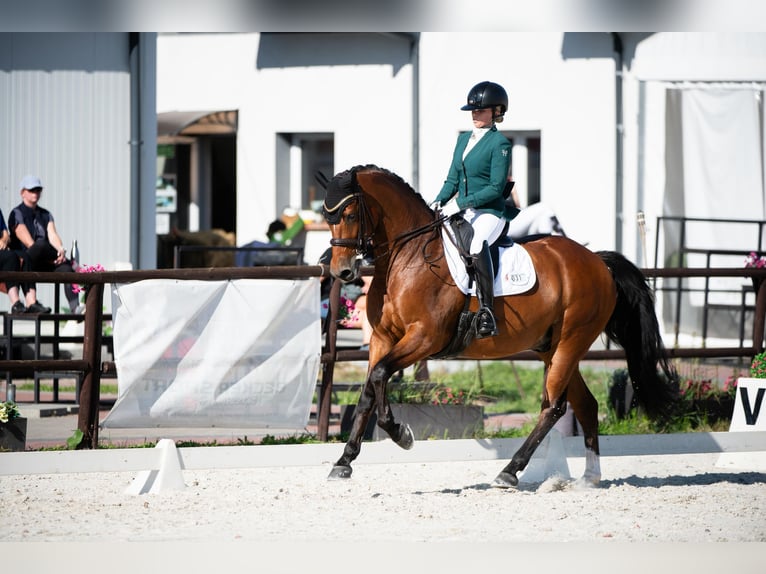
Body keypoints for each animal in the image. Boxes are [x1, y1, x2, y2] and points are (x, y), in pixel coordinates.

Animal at [321, 164, 677, 488]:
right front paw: (343, 462)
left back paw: (510, 471)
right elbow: (368, 391)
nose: (342, 272)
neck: (407, 258)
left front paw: (401, 434)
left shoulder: (424, 337)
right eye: (328, 217)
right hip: (553, 348)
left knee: (553, 407)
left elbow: (381, 374)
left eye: (349, 215)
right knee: (586, 405)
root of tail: (598, 262)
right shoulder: (382, 339)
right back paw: (588, 478)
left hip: (570, 342)